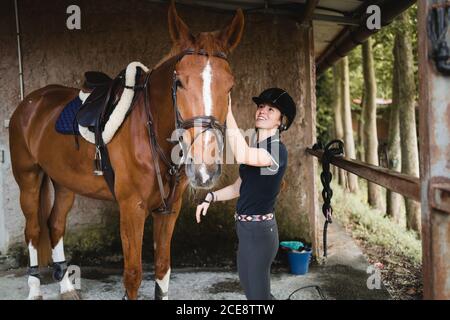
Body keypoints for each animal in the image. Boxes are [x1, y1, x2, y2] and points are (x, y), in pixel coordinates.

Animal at [7, 1, 243, 300]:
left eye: (230, 86)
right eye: (179, 82)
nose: (205, 170)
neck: (149, 131)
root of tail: (31, 102)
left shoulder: (169, 209)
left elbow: (163, 268)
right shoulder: (132, 208)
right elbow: (133, 275)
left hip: (64, 183)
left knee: (55, 224)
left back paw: (66, 288)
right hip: (28, 179)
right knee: (34, 230)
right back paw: (35, 290)